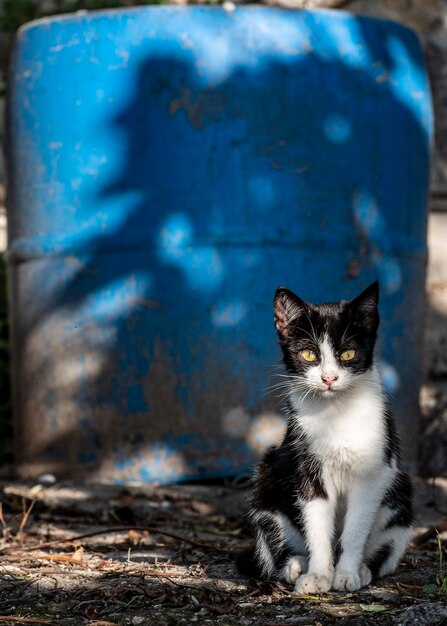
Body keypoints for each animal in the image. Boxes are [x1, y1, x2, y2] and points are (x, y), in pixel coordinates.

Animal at [238, 280, 412, 592]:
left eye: (347, 354)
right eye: (309, 354)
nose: (329, 378)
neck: (335, 414)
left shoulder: (376, 470)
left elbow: (356, 528)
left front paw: (346, 574)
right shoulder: (306, 465)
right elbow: (316, 523)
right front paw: (318, 574)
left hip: (401, 491)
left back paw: (363, 569)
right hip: (267, 475)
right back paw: (296, 565)